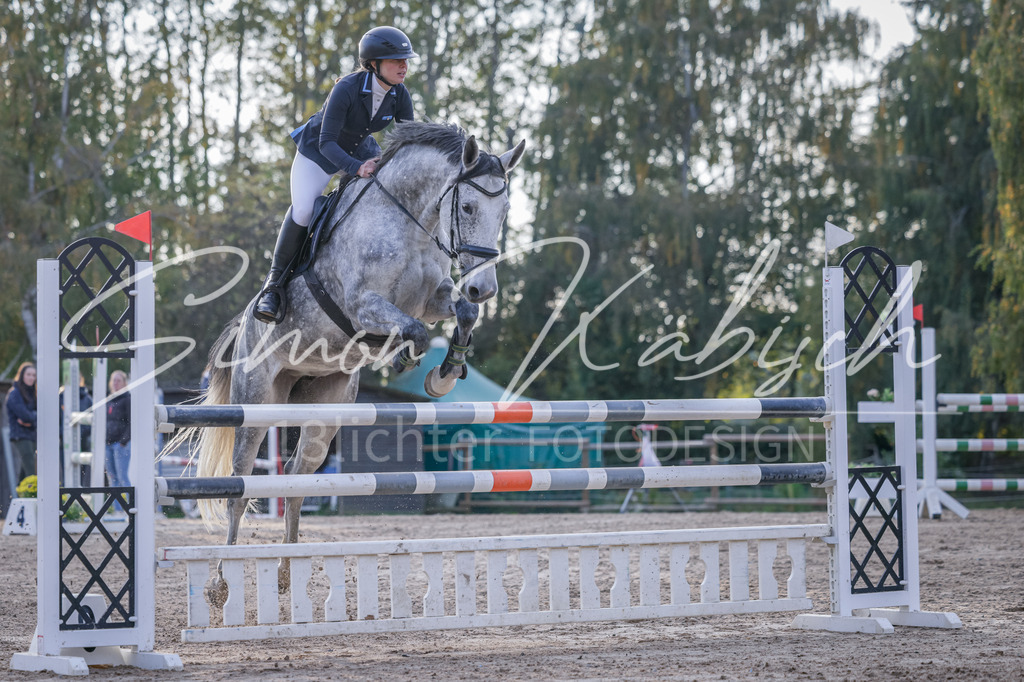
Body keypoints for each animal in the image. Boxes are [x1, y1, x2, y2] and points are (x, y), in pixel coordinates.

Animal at [177, 122, 525, 588]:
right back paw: (220, 582)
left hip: (324, 412)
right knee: (239, 487)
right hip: (255, 404)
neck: (412, 223)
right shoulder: (363, 304)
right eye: (467, 207)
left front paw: (444, 373)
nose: (483, 288)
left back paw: (286, 572)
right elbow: (412, 330)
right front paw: (403, 359)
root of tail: (246, 323)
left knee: (297, 484)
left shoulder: (434, 299)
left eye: (504, 211)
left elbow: (460, 314)